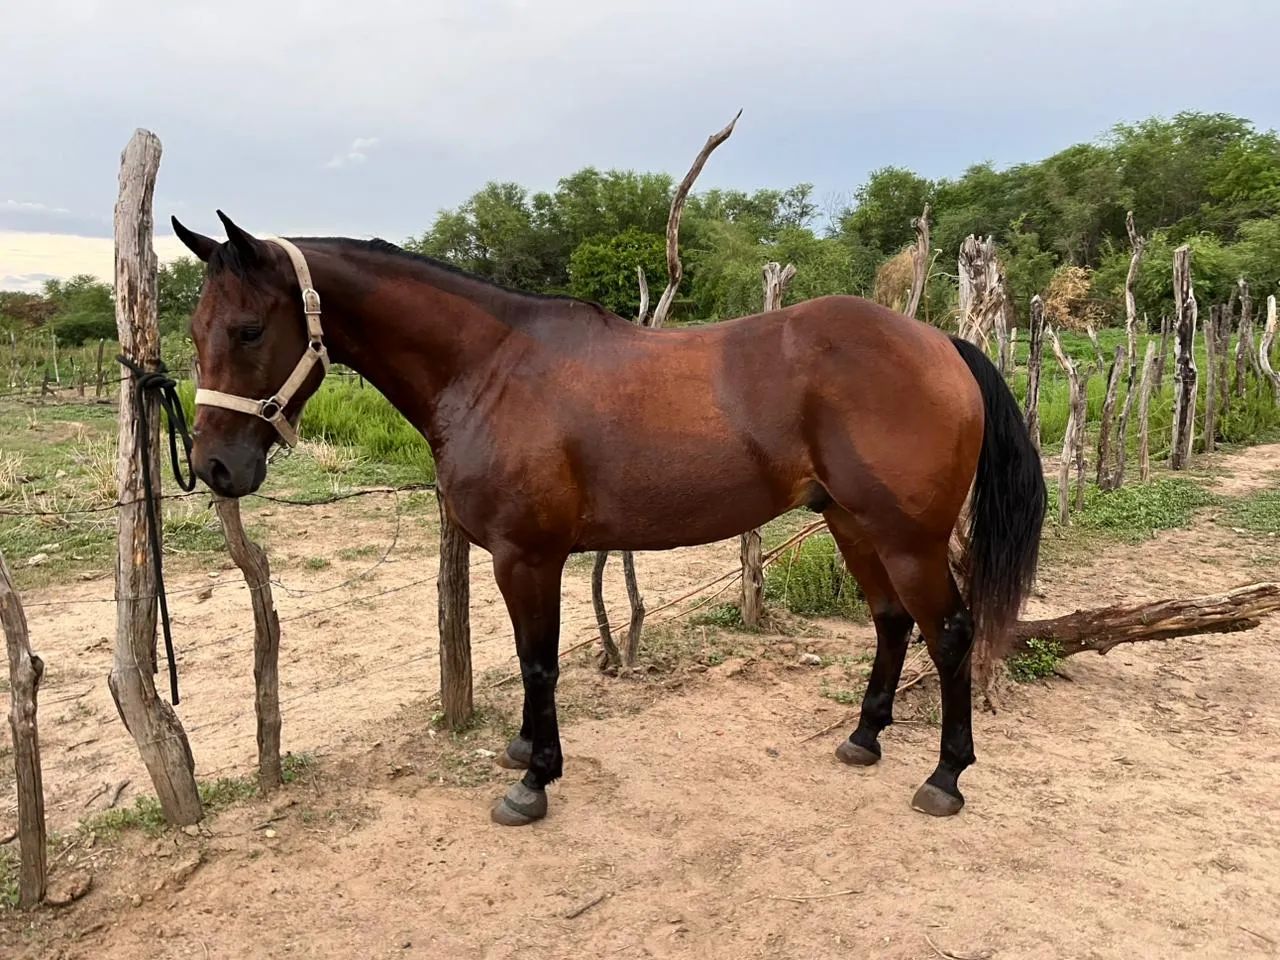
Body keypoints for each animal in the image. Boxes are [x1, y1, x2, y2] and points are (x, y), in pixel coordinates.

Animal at [172, 211, 1045, 826]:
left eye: (249, 329)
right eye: (194, 330)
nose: (214, 467)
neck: (491, 367)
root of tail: (940, 341)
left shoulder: (526, 555)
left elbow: (539, 662)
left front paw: (533, 780)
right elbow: (530, 659)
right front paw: (524, 750)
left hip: (908, 539)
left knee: (950, 633)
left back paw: (945, 777)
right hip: (851, 523)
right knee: (892, 622)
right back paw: (865, 739)